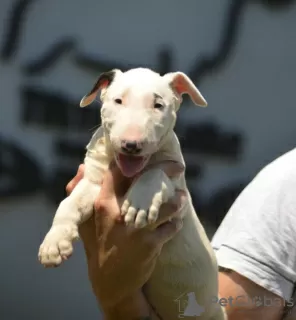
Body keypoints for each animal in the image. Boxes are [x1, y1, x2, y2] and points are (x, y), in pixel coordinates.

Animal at [38, 68, 227, 320]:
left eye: (158, 105)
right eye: (118, 101)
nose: (131, 145)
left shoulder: (178, 195)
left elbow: (155, 173)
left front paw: (140, 205)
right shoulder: (93, 181)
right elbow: (69, 204)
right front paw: (54, 243)